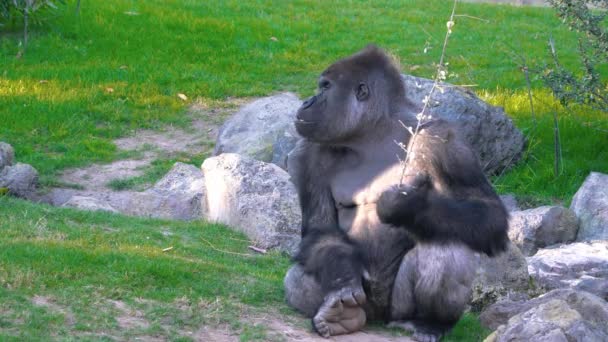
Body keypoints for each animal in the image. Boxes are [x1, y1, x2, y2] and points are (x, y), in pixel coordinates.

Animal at [284, 46, 508, 342]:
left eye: (326, 87)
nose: (307, 102)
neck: (374, 134)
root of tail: (378, 319)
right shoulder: (313, 153)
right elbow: (320, 231)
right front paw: (343, 276)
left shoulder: (444, 141)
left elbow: (489, 214)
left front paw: (407, 206)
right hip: (366, 305)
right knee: (297, 276)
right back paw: (342, 317)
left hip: (396, 309)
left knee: (445, 245)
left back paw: (428, 324)